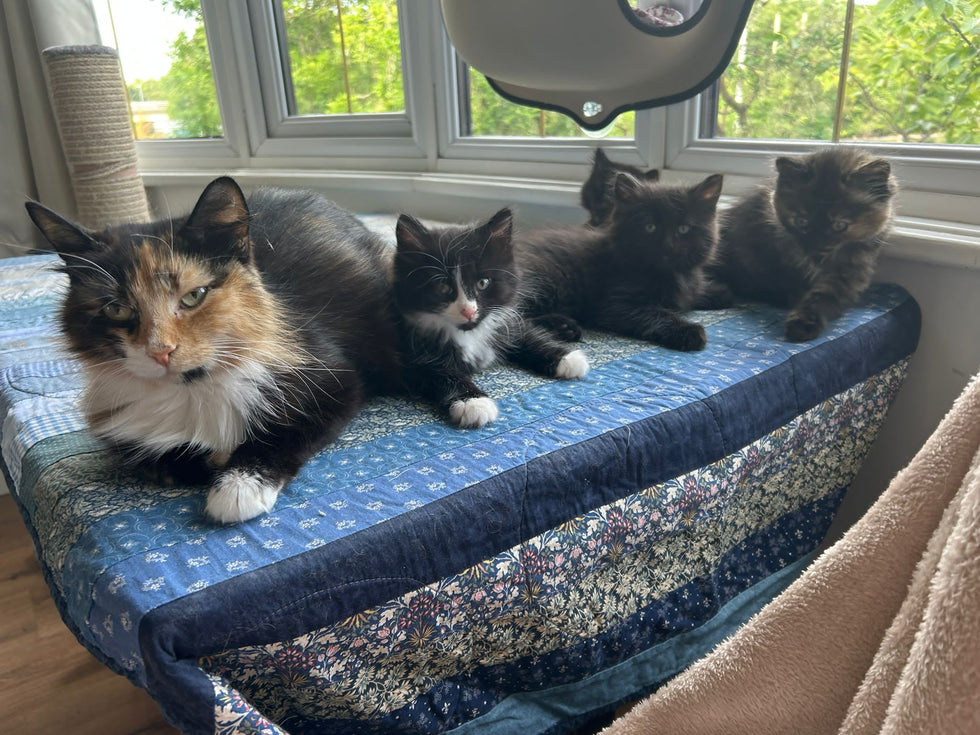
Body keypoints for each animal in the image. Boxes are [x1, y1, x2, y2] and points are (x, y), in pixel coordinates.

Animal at [25, 176, 400, 524]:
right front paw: (209, 461)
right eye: (116, 309)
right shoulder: (116, 425)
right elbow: (162, 459)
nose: (160, 351)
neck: (193, 388)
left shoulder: (334, 376)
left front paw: (238, 488)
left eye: (194, 296)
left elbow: (285, 431)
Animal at [393, 208, 589, 428]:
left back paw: (565, 327)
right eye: (442, 287)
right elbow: (442, 373)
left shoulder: (507, 319)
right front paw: (472, 402)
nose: (468, 311)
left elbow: (525, 333)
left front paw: (566, 357)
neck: (469, 335)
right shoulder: (410, 358)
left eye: (483, 283)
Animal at [516, 171, 726, 351]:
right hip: (543, 279)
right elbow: (655, 313)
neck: (669, 275)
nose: (668, 246)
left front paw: (719, 292)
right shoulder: (616, 304)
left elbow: (696, 294)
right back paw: (563, 327)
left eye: (683, 229)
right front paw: (688, 331)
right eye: (650, 227)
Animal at [712, 147, 898, 341]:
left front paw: (803, 322)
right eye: (801, 221)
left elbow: (823, 296)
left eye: (839, 225)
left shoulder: (850, 273)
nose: (816, 248)